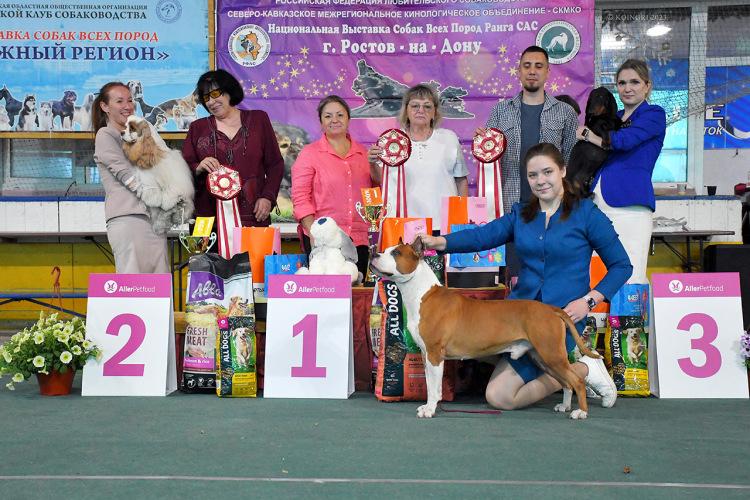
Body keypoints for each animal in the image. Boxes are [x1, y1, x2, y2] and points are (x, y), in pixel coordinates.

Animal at [374, 240, 604, 420]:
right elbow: (430, 384)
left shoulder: (434, 354)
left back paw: (581, 412)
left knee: (576, 380)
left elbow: (434, 387)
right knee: (565, 381)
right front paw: (428, 407)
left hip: (551, 353)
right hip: (542, 357)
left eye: (396, 253)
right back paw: (565, 405)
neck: (421, 293)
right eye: (386, 249)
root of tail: (551, 309)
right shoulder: (426, 354)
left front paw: (430, 410)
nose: (375, 253)